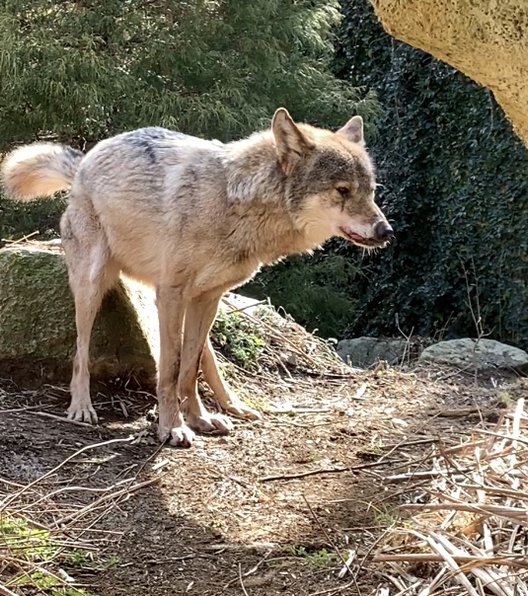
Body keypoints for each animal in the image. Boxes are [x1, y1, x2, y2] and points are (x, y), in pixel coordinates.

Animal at [2, 108, 392, 448]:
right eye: (342, 190)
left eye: (371, 190)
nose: (386, 231)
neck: (234, 203)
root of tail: (84, 161)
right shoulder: (171, 294)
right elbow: (171, 369)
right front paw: (171, 428)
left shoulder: (206, 297)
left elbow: (187, 370)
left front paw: (198, 419)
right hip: (92, 287)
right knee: (81, 350)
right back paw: (81, 407)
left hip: (196, 304)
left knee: (205, 358)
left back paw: (230, 406)